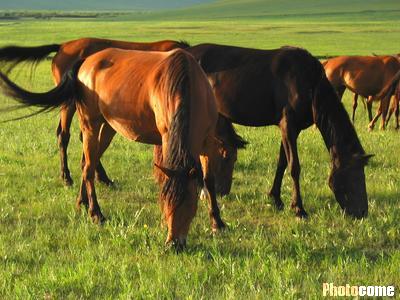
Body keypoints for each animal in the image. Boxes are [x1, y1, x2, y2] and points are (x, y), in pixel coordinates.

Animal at [184, 43, 372, 218]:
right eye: (355, 176)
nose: (362, 212)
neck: (309, 82)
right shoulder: (288, 124)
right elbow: (294, 166)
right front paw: (299, 208)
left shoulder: (291, 128)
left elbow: (282, 162)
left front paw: (276, 199)